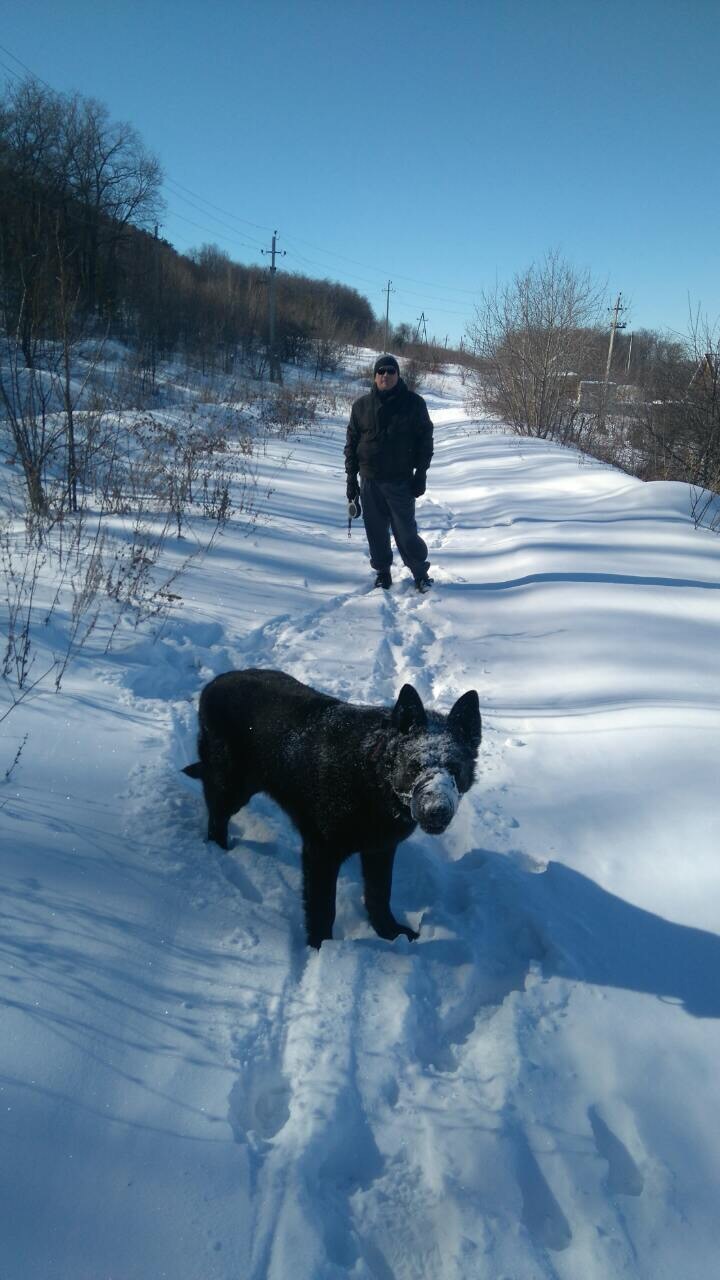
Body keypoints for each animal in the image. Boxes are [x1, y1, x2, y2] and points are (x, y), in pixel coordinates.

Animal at [181, 670, 479, 952]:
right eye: (415, 766)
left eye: (455, 769)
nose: (436, 810)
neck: (372, 778)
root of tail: (214, 683)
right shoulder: (321, 855)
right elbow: (323, 909)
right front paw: (321, 949)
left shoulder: (380, 850)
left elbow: (379, 895)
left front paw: (389, 932)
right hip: (232, 787)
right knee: (216, 819)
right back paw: (219, 853)